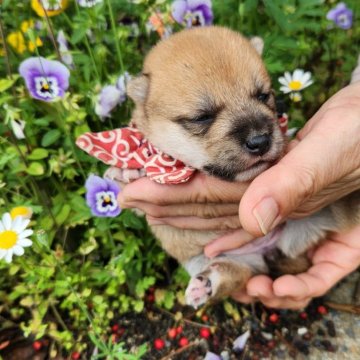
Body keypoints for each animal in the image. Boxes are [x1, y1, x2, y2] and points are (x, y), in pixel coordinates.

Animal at [107, 26, 360, 306]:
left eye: (263, 95)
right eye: (202, 117)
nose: (260, 141)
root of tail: (271, 248)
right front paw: (126, 170)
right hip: (229, 260)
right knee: (234, 274)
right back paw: (205, 284)